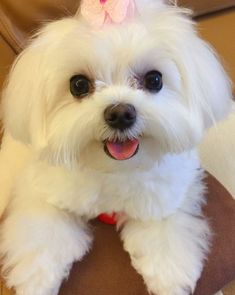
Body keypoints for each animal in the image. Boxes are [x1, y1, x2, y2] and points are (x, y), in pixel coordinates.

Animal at [0, 0, 232, 295]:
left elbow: (165, 239)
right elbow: (42, 237)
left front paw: (168, 278)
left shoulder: (166, 197)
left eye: (154, 80)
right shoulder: (43, 191)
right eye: (79, 84)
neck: (113, 169)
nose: (121, 114)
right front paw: (37, 282)